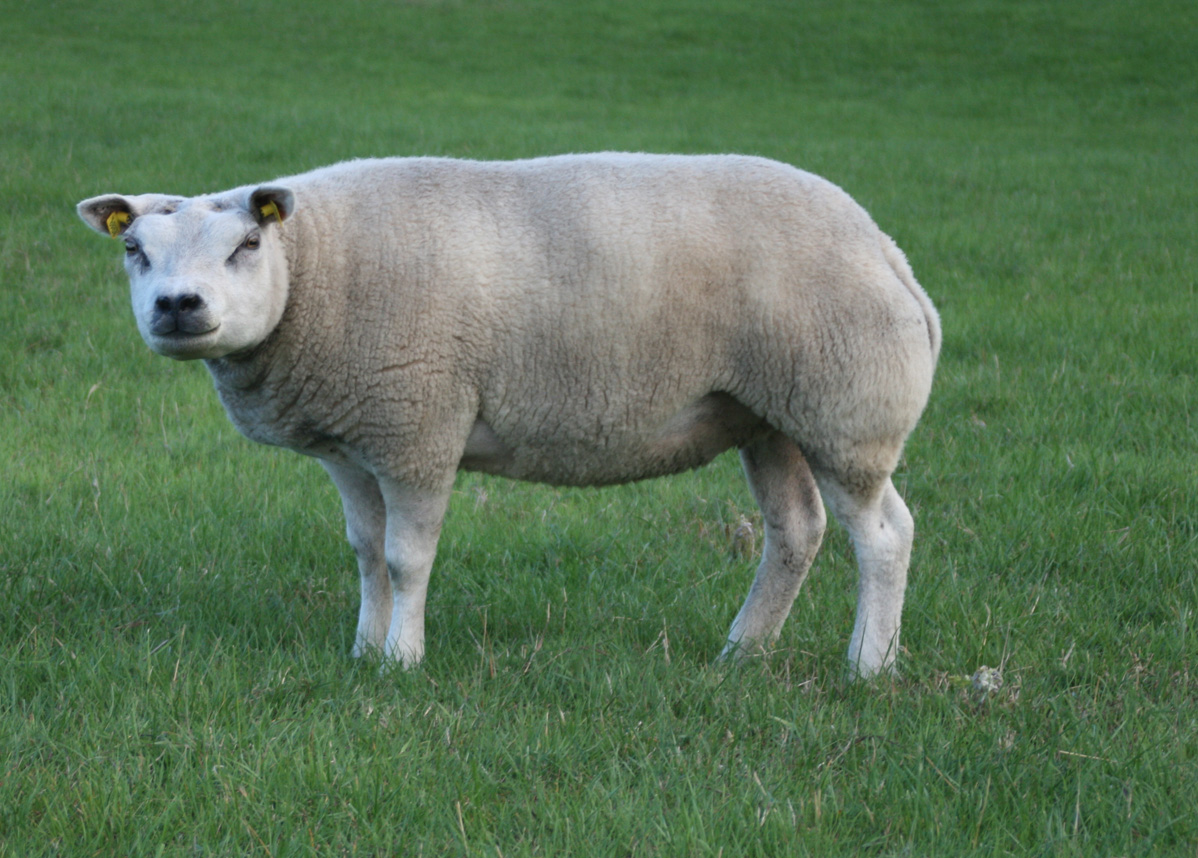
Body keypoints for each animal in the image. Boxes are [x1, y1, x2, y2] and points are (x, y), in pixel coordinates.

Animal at [74, 152, 939, 675]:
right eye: (134, 252)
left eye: (248, 244)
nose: (178, 306)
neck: (320, 271)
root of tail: (885, 247)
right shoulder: (353, 445)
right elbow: (365, 552)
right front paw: (363, 649)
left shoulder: (419, 427)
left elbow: (405, 558)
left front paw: (402, 661)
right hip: (772, 418)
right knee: (797, 532)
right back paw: (743, 651)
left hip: (848, 410)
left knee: (884, 536)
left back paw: (868, 664)